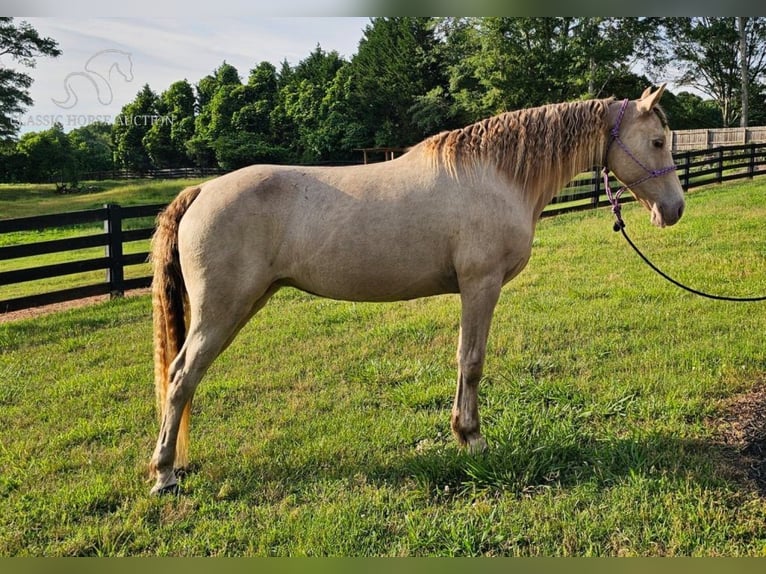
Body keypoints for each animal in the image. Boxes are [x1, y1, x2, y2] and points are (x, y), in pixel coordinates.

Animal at [147, 83, 688, 498]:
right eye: (658, 141)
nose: (675, 209)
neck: (494, 175)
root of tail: (202, 190)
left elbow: (464, 361)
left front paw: (462, 434)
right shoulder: (480, 286)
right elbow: (472, 361)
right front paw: (472, 439)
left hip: (243, 304)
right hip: (222, 310)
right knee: (181, 378)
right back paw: (165, 475)